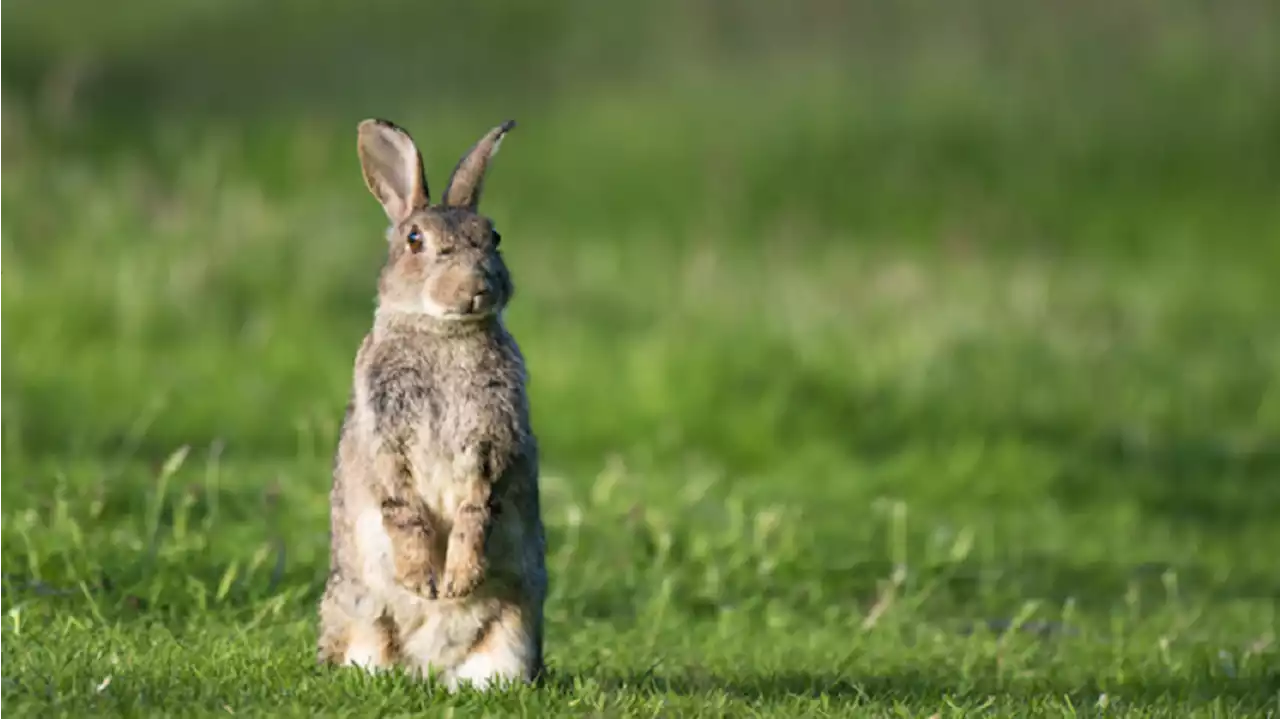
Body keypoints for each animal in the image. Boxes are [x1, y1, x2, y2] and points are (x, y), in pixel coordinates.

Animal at [317, 117, 547, 690]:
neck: (442, 331)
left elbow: (477, 507)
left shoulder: (494, 438)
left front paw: (458, 580)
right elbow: (402, 509)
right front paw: (424, 582)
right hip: (362, 618)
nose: (476, 287)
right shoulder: (386, 434)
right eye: (414, 240)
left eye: (494, 237)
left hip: (514, 628)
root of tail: (430, 667)